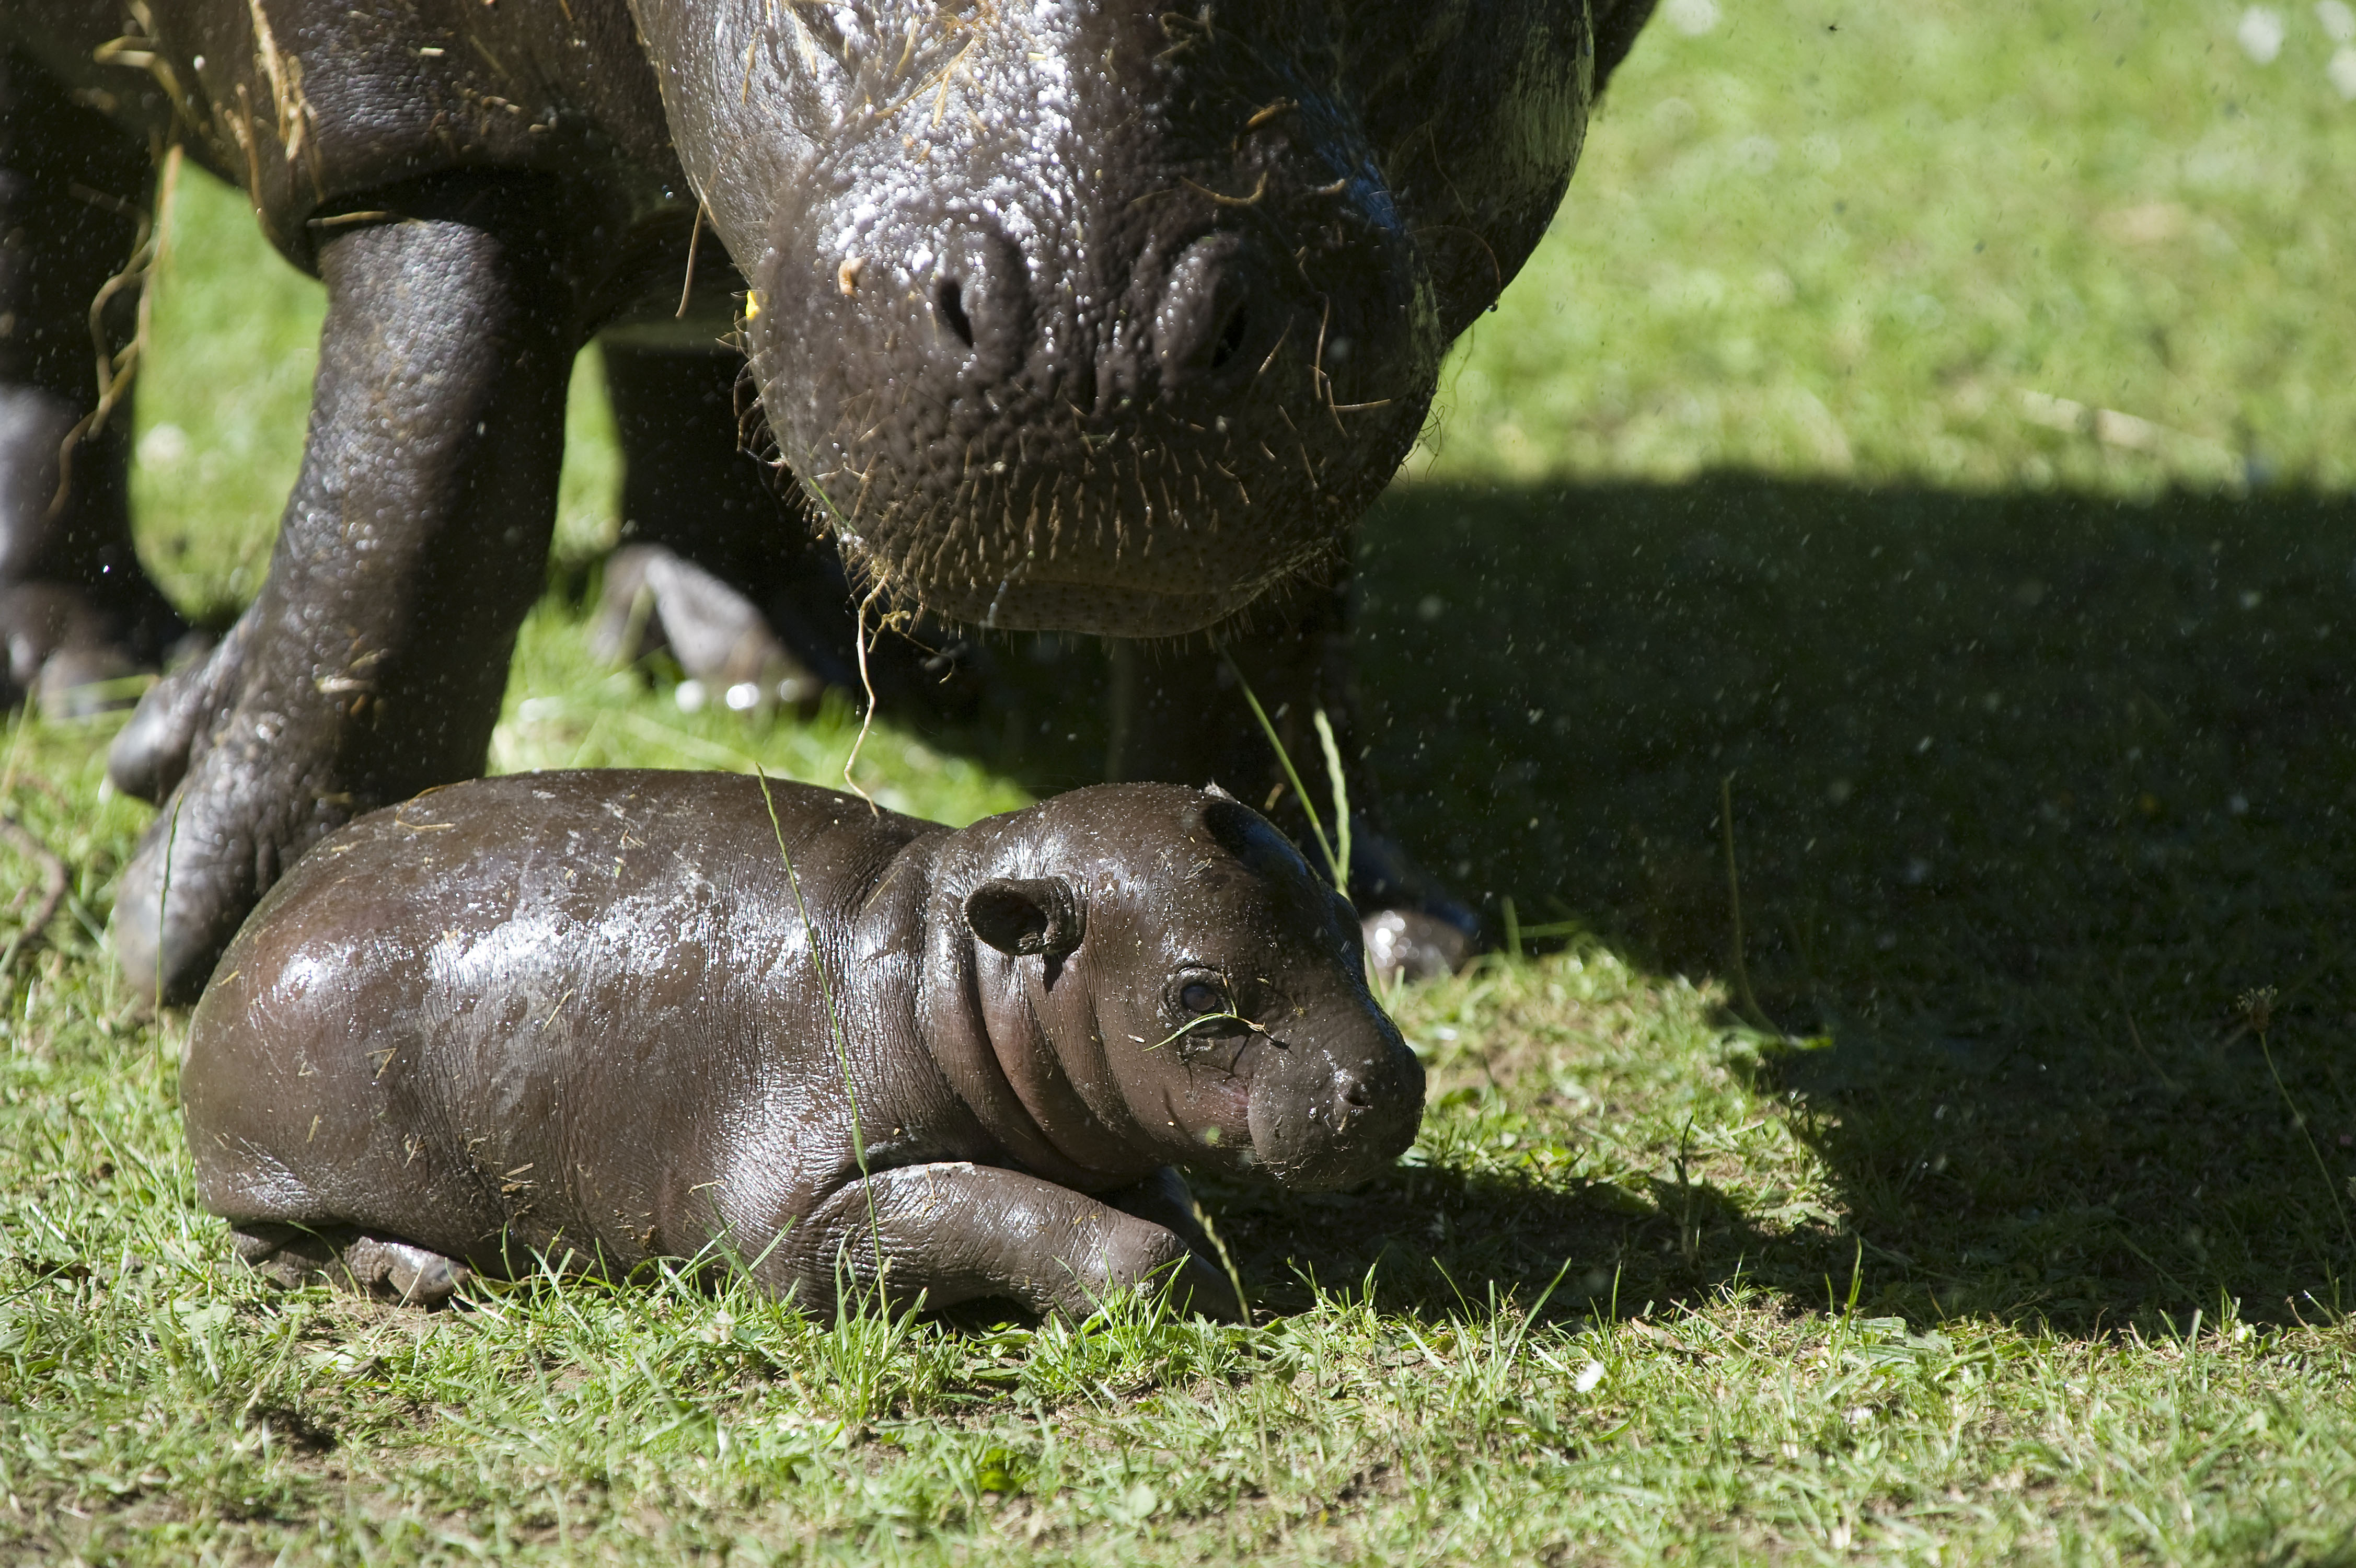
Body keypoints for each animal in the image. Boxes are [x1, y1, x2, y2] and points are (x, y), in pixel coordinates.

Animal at [0, 0, 1658, 995]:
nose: (1098, 335)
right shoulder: (427, 115)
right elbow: (416, 473)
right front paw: (208, 929)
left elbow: (1276, 625)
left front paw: (1365, 922)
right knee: (58, 256)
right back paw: (91, 672)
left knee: (696, 315)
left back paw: (753, 661)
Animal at [183, 768, 1423, 1311]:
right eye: (1198, 991)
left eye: (1345, 923)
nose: (1386, 1079)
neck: (946, 967)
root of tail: (255, 927)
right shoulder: (801, 1202)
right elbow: (1066, 1231)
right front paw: (1183, 1277)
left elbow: (1154, 1195)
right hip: (301, 1156)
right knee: (276, 1240)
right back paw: (419, 1273)